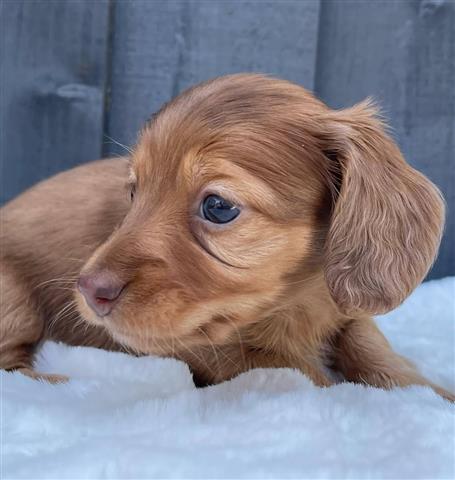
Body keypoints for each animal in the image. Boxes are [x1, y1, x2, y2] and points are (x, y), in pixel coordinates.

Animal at [1, 73, 454, 400]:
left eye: (218, 207)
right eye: (134, 192)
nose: (88, 289)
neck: (294, 305)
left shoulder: (345, 312)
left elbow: (372, 347)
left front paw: (432, 393)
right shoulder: (204, 348)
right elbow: (299, 371)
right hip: (14, 298)